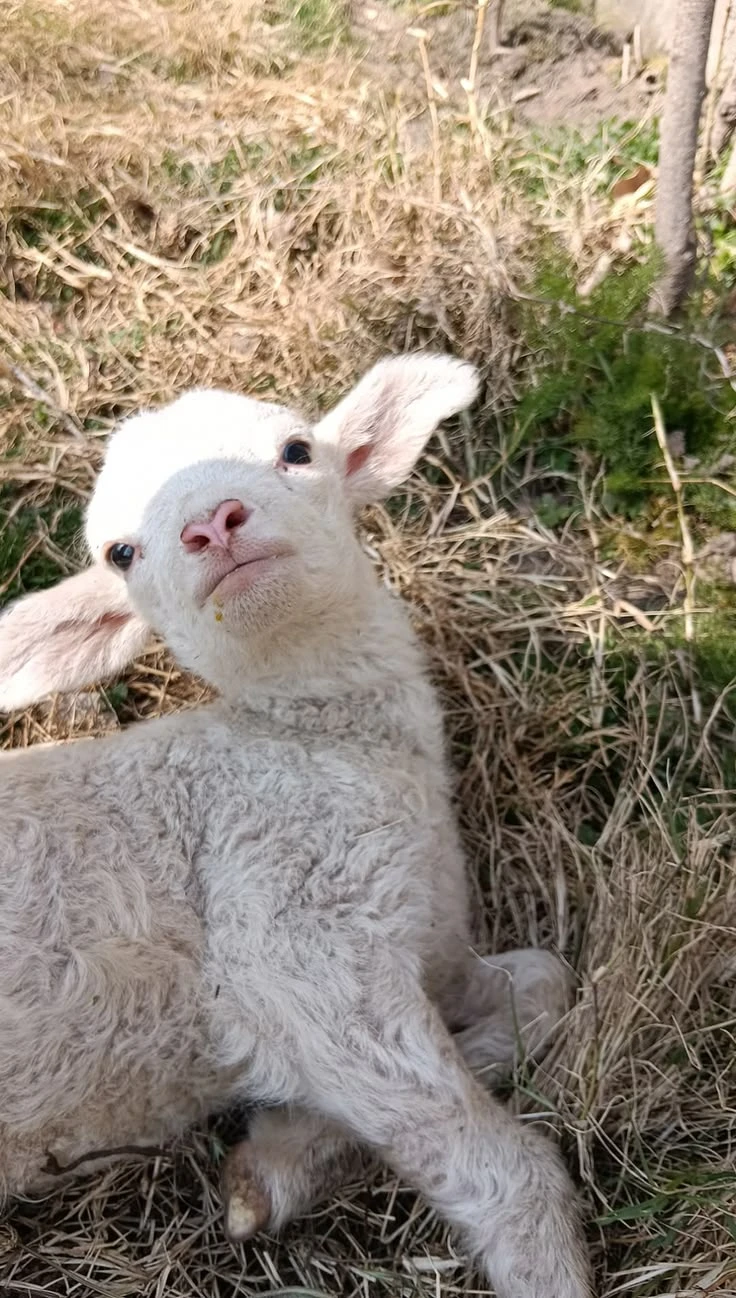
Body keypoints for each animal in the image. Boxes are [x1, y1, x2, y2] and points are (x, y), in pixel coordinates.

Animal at [0, 353, 592, 1298]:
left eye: (296, 451)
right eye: (121, 552)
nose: (211, 524)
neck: (318, 739)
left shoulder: (421, 938)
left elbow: (543, 981)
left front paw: (274, 1163)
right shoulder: (291, 931)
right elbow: (504, 1166)